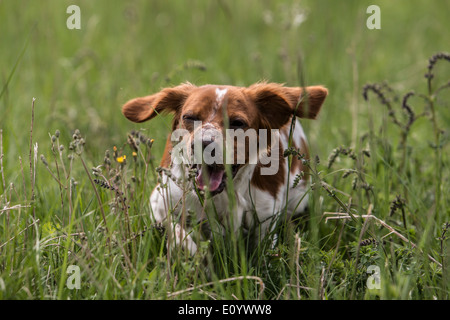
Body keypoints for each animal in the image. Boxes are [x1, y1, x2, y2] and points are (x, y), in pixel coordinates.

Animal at [122, 83, 326, 255]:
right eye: (189, 117)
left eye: (237, 122)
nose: (204, 144)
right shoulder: (160, 202)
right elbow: (180, 235)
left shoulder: (265, 219)